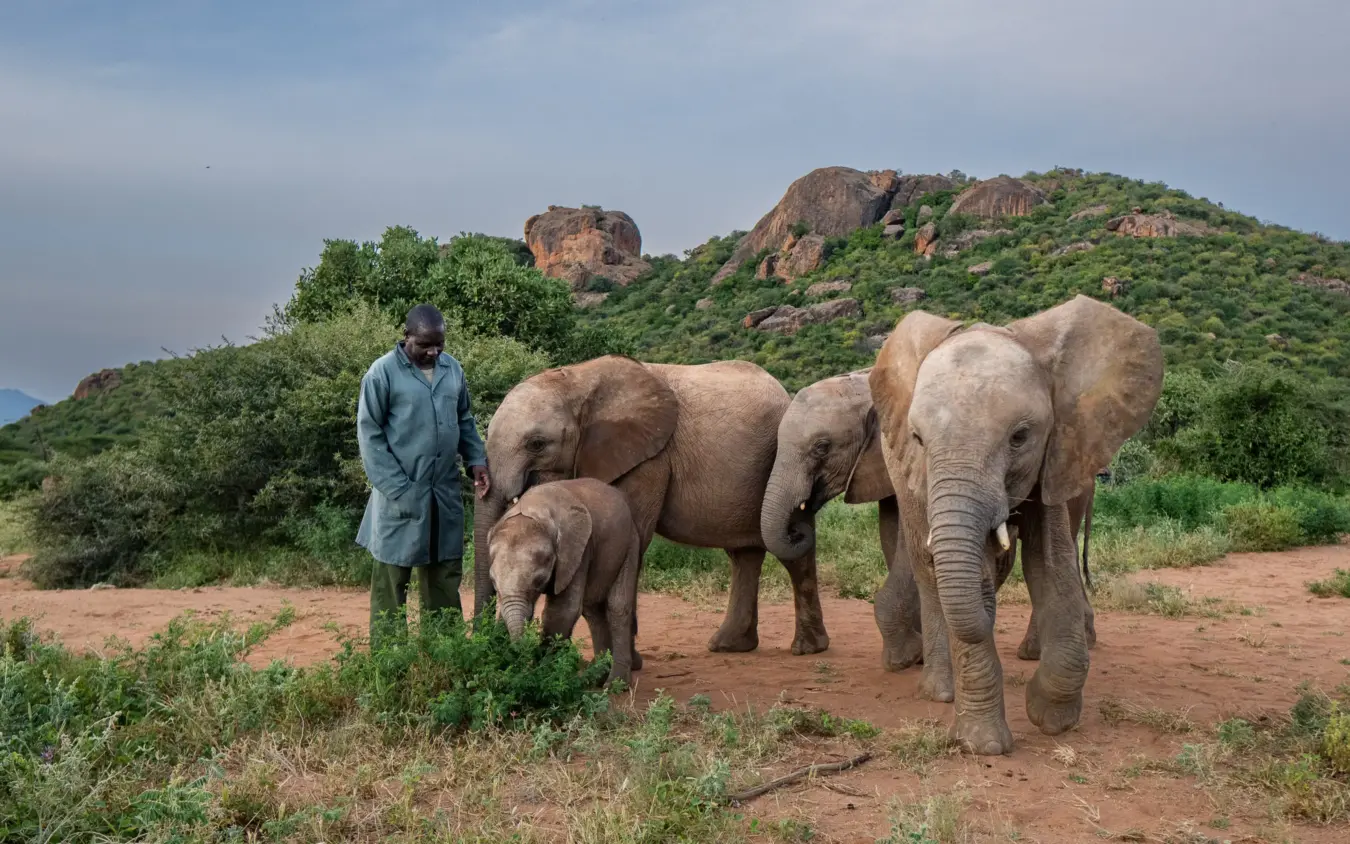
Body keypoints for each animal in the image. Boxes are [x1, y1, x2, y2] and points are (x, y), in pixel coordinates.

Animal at [472, 355, 831, 656]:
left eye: (536, 444)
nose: (483, 641)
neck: (576, 380)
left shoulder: (649, 461)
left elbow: (634, 538)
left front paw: (629, 663)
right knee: (744, 556)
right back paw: (730, 646)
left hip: (787, 460)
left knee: (790, 551)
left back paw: (807, 649)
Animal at [486, 478, 641, 685]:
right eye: (494, 583)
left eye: (538, 581)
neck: (534, 510)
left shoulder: (577, 550)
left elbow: (562, 610)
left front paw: (543, 676)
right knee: (593, 609)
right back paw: (597, 677)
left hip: (630, 542)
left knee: (617, 606)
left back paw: (615, 684)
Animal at [760, 370, 1098, 676]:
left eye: (822, 447)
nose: (798, 528)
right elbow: (893, 534)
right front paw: (921, 652)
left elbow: (909, 545)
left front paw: (905, 658)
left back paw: (1033, 652)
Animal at [869, 295, 1162, 755]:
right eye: (918, 439)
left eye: (1020, 437)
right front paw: (983, 745)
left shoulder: (1057, 452)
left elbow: (1051, 564)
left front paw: (1049, 717)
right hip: (901, 475)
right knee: (925, 566)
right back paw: (940, 690)